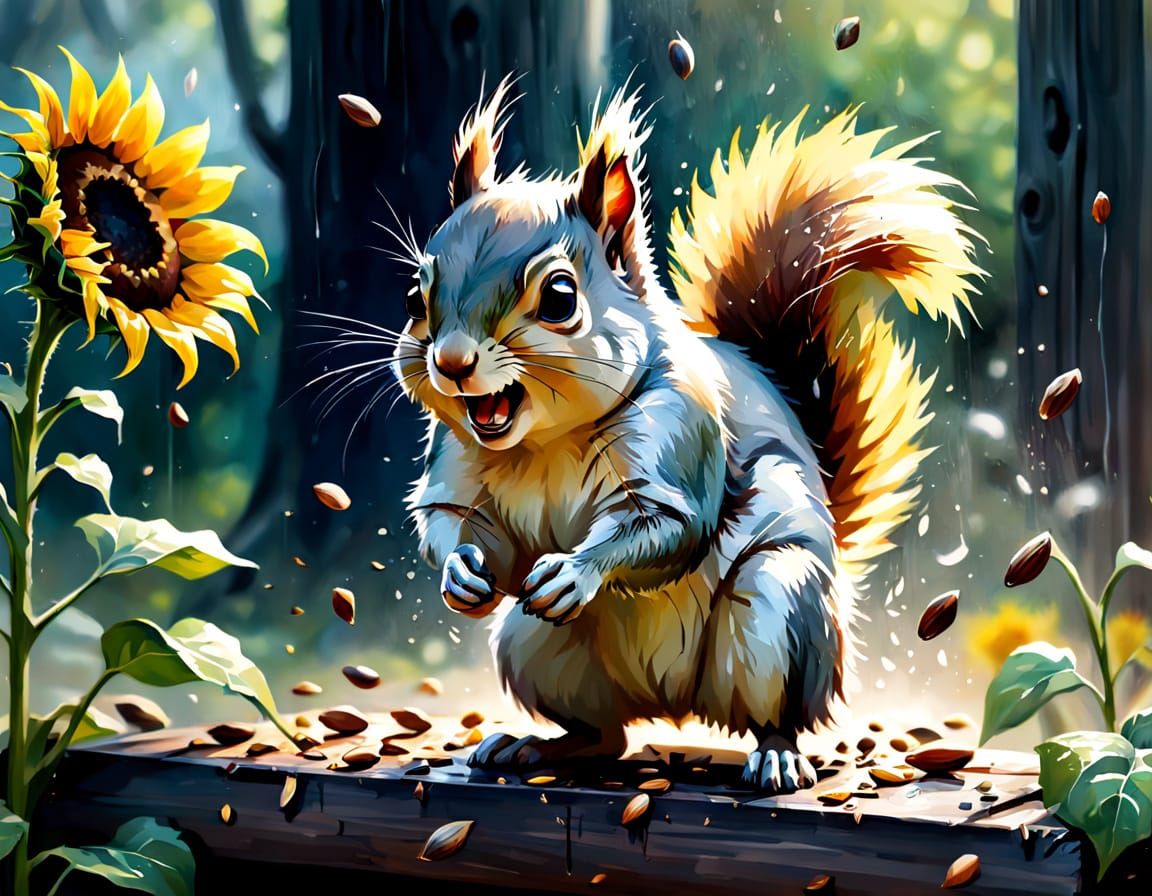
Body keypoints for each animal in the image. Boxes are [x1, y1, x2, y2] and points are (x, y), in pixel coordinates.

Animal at [392, 78, 982, 792]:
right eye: (415, 297)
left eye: (560, 297)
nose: (451, 363)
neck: (546, 440)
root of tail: (674, 705)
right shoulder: (458, 460)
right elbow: (453, 521)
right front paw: (462, 575)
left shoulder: (680, 433)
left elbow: (670, 526)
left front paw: (576, 571)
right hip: (535, 646)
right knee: (605, 736)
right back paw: (533, 745)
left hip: (781, 618)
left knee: (773, 713)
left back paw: (777, 755)